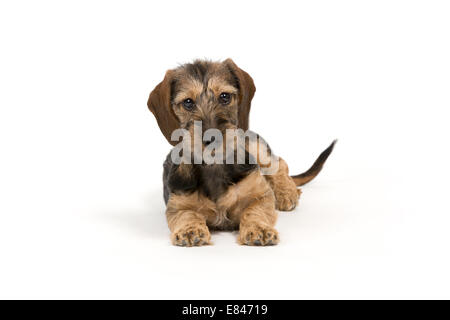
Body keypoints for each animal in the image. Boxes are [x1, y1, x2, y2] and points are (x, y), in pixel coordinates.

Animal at [148, 58, 334, 246]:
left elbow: (254, 210)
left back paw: (286, 192)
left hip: (253, 145)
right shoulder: (178, 204)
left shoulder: (260, 196)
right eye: (188, 102)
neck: (214, 167)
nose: (212, 138)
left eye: (225, 96)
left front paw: (259, 228)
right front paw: (190, 229)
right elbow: (187, 214)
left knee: (279, 163)